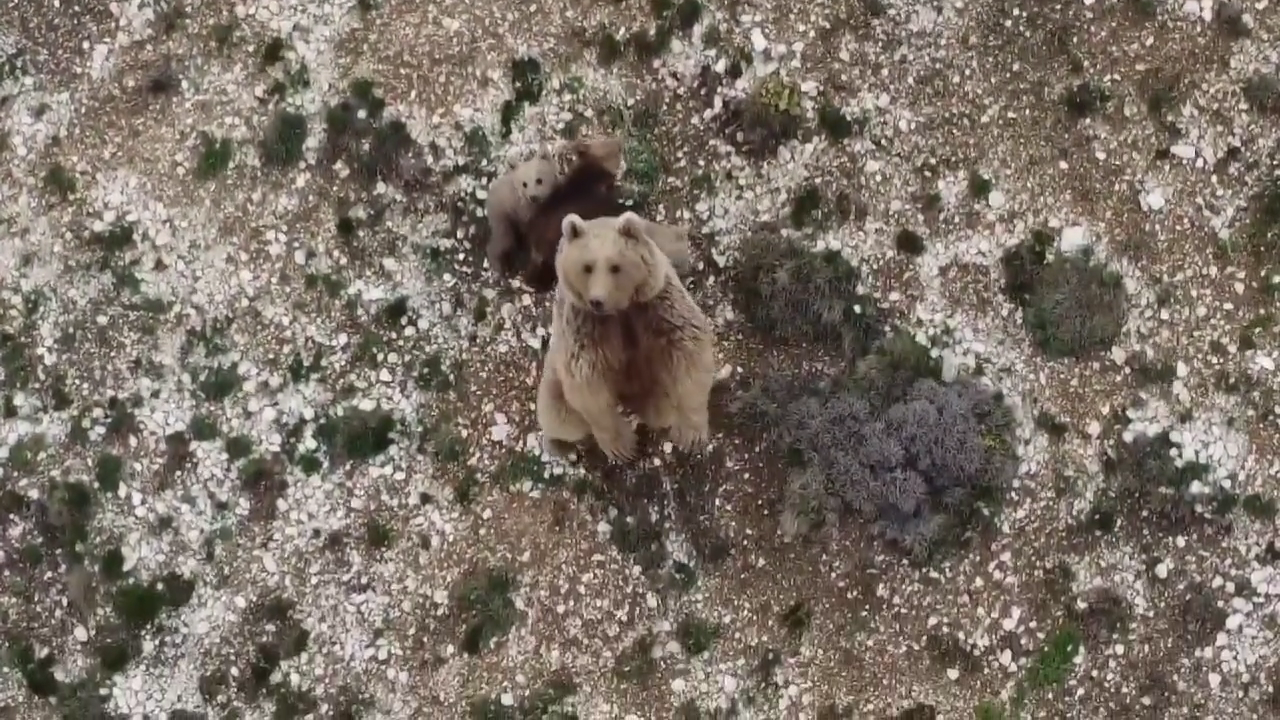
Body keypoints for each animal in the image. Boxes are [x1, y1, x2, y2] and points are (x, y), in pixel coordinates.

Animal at [535, 210, 716, 456]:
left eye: (615, 266)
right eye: (587, 267)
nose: (597, 301)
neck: (621, 309)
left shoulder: (656, 306)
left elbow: (688, 351)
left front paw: (691, 433)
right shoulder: (586, 325)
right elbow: (587, 384)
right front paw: (622, 446)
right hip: (554, 377)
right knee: (558, 414)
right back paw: (559, 444)